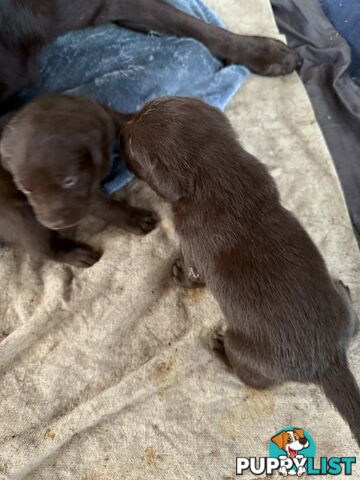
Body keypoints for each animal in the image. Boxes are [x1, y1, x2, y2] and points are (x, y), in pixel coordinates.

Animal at [121, 96, 360, 446]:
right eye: (141, 109)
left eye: (131, 146)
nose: (119, 125)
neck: (219, 172)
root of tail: (328, 361)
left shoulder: (192, 246)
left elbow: (192, 274)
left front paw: (177, 274)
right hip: (344, 317)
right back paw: (343, 289)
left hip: (247, 350)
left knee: (252, 378)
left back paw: (220, 347)